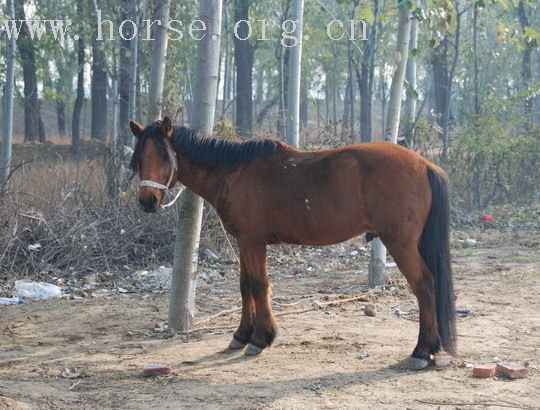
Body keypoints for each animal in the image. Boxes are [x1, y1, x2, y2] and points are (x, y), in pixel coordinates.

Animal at [129, 117, 454, 370]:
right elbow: (245, 286)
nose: (147, 202)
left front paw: (261, 339)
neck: (234, 171)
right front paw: (241, 335)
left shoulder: (253, 241)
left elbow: (259, 286)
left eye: (164, 156)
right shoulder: (244, 242)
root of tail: (425, 164)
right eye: (140, 158)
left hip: (401, 244)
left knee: (424, 285)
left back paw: (421, 351)